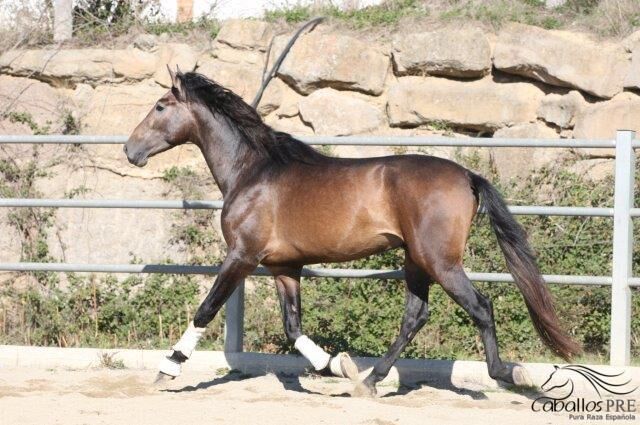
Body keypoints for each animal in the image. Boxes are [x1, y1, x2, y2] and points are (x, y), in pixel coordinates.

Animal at [125, 68, 580, 396]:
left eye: (160, 106)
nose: (130, 151)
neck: (252, 172)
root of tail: (467, 176)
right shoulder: (285, 268)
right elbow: (294, 329)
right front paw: (337, 366)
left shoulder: (242, 256)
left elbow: (206, 309)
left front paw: (167, 369)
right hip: (415, 261)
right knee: (415, 316)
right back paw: (370, 380)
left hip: (439, 260)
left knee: (480, 307)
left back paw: (509, 374)